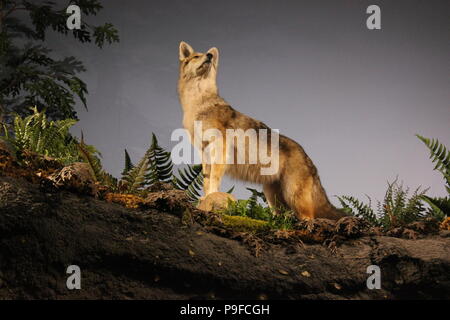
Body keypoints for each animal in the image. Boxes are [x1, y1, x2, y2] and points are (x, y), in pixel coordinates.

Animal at [177, 40, 344, 220]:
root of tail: (308, 158)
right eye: (196, 57)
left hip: (294, 197)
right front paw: (205, 198)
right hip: (273, 198)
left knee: (309, 217)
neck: (199, 102)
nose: (209, 56)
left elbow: (214, 180)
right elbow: (207, 182)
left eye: (210, 58)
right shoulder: (205, 153)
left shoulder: (220, 149)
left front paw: (211, 196)